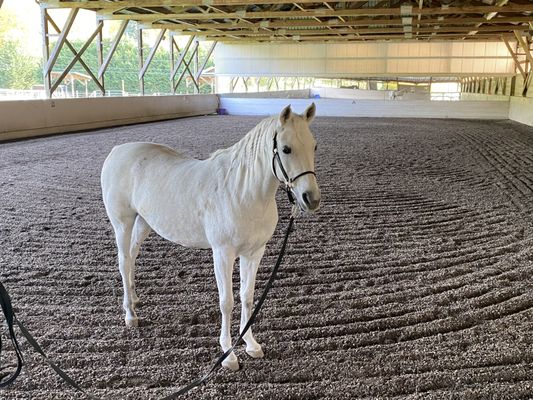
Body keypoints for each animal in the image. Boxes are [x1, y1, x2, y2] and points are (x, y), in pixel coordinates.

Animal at [100, 104, 320, 372]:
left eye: (314, 146)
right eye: (286, 149)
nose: (311, 199)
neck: (242, 192)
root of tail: (117, 150)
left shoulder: (254, 253)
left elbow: (247, 298)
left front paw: (251, 344)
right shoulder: (223, 254)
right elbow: (227, 302)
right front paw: (228, 354)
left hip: (143, 222)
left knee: (132, 257)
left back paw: (134, 299)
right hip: (123, 223)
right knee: (123, 262)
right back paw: (130, 315)